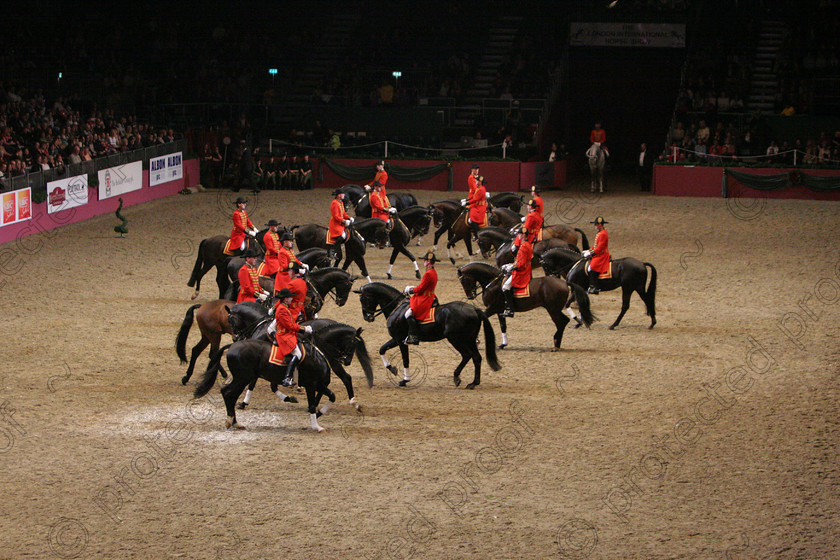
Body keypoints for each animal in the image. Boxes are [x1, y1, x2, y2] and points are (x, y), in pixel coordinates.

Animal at [194, 336, 334, 434]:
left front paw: (320, 413)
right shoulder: (311, 385)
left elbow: (332, 396)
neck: (316, 357)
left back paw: (235, 423)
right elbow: (312, 404)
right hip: (242, 378)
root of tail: (233, 345)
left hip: (242, 379)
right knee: (227, 393)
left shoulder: (319, 385)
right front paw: (317, 426)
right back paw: (230, 421)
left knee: (230, 395)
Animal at [352, 280, 498, 390]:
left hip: (456, 339)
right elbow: (382, 349)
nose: (367, 317)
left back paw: (457, 377)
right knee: (476, 357)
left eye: (363, 298)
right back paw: (473, 383)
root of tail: (473, 309)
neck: (398, 307)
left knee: (467, 355)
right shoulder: (396, 339)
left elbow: (405, 360)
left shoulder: (400, 340)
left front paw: (404, 380)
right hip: (470, 339)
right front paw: (392, 368)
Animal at [456, 262, 592, 350]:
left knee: (562, 322)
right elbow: (503, 326)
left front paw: (475, 340)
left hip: (553, 309)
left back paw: (556, 344)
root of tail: (565, 283)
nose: (470, 296)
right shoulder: (500, 310)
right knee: (562, 322)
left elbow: (481, 318)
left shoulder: (492, 308)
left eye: (463, 280)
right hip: (554, 309)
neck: (492, 282)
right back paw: (557, 343)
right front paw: (503, 344)